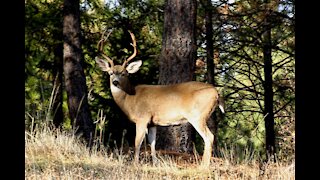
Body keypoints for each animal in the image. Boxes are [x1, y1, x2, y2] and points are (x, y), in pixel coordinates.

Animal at [95, 30, 225, 167]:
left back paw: (203, 166)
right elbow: (152, 143)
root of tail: (216, 93)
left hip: (198, 116)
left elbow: (137, 143)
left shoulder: (142, 118)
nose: (115, 82)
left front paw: (135, 163)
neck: (130, 99)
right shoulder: (152, 123)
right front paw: (155, 162)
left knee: (209, 137)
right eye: (110, 73)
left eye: (124, 74)